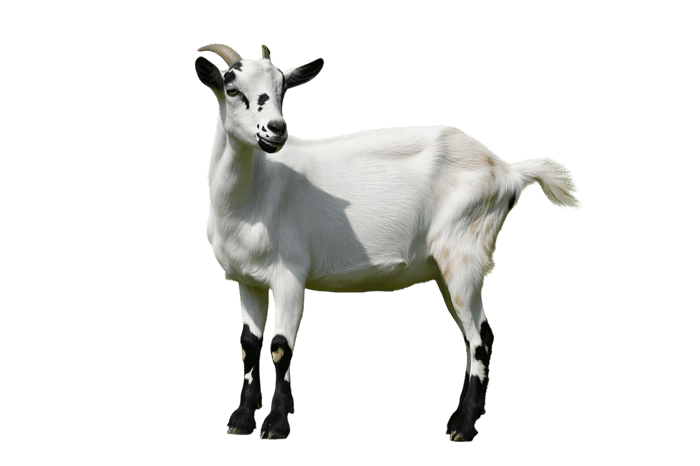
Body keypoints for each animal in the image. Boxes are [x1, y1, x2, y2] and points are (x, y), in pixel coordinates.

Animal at [194, 43, 581, 442]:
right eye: (232, 89)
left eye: (282, 89)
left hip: (464, 252)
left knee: (480, 338)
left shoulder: (290, 274)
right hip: (445, 268)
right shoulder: (248, 280)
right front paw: (241, 418)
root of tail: (507, 170)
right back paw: (464, 417)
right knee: (474, 334)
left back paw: (463, 426)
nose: (277, 130)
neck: (252, 196)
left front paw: (276, 423)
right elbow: (249, 345)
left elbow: (279, 347)